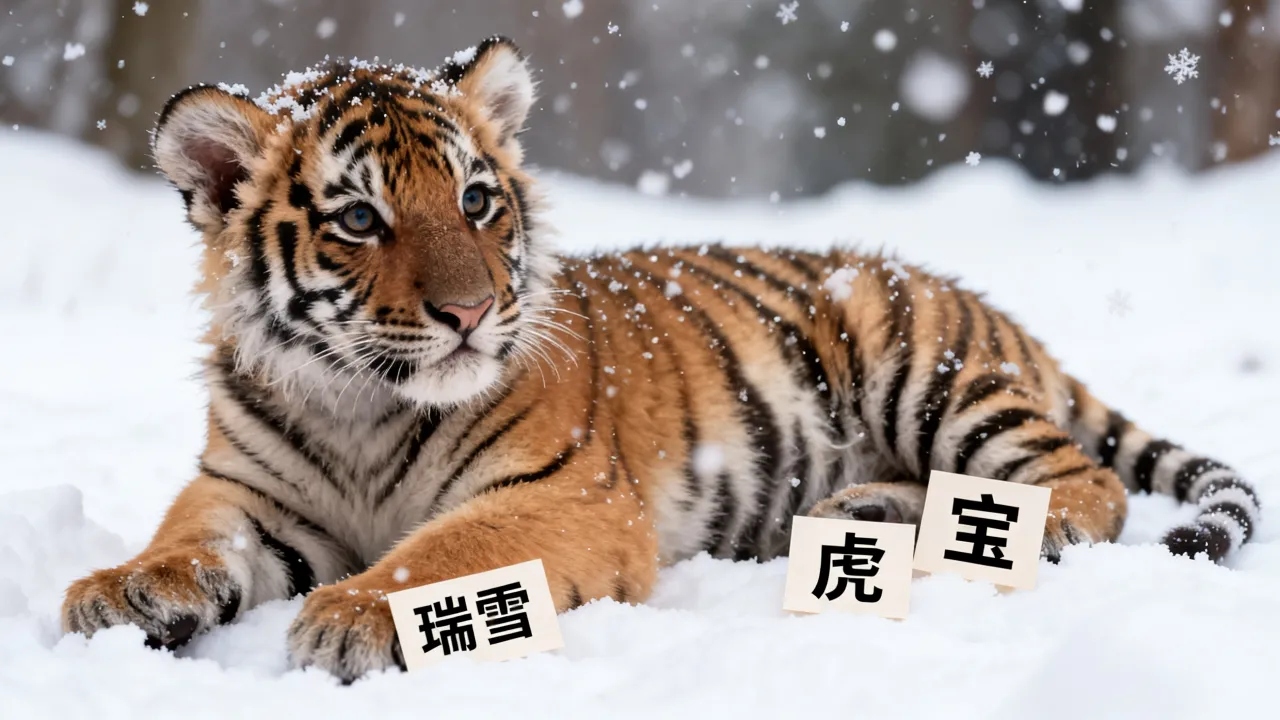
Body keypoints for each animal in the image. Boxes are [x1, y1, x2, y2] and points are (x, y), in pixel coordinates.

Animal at [61, 37, 1261, 683]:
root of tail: (982, 304)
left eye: (476, 200)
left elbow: (441, 551)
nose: (470, 311)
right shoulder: (246, 491)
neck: (357, 404)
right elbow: (186, 535)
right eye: (359, 219)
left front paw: (357, 616)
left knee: (1085, 485)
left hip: (922, 364)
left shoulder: (562, 493)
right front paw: (119, 592)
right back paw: (871, 515)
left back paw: (1000, 526)